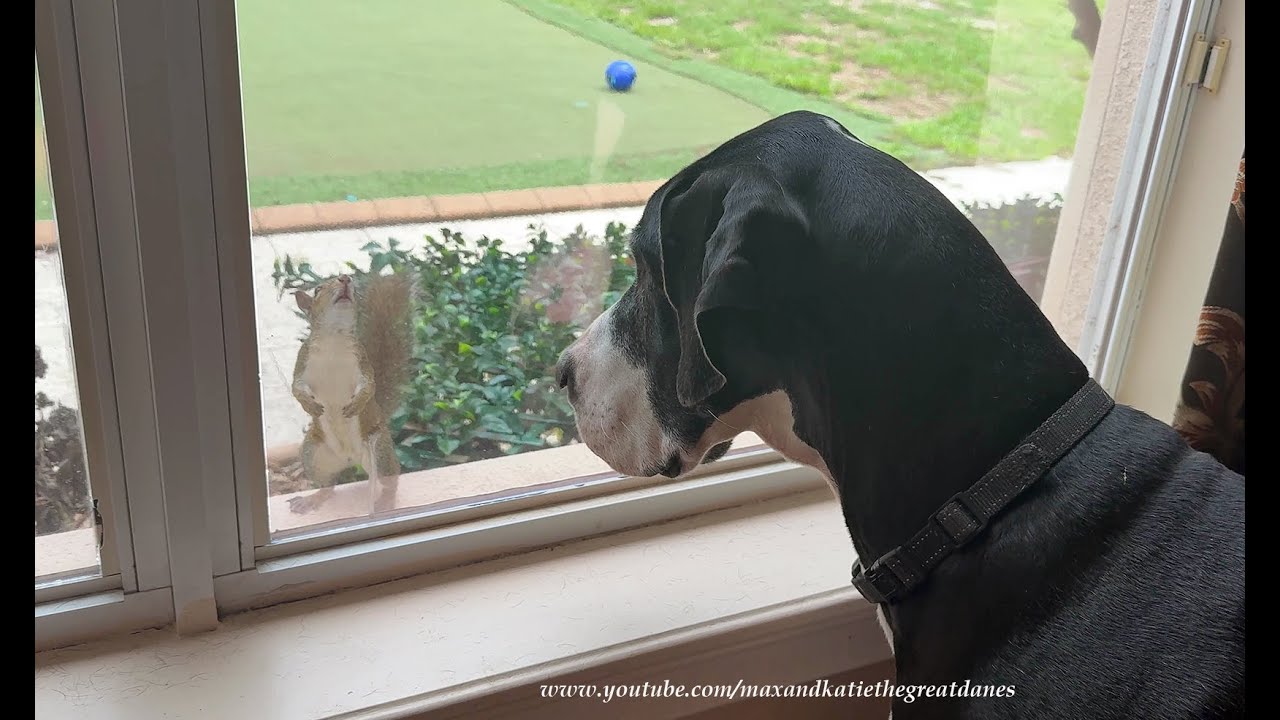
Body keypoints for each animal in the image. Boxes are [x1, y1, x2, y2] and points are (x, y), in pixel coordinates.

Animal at [289, 272, 414, 515]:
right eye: (317, 290)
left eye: (354, 289)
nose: (345, 279)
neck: (334, 339)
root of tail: (349, 458)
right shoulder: (302, 363)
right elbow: (296, 387)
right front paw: (309, 405)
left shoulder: (362, 363)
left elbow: (369, 386)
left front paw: (356, 404)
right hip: (313, 456)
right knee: (328, 485)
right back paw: (312, 499)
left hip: (380, 452)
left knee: (390, 481)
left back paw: (386, 501)